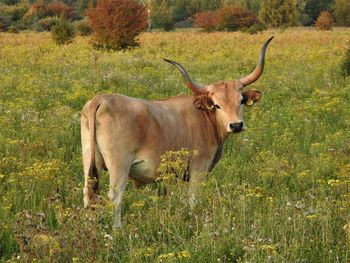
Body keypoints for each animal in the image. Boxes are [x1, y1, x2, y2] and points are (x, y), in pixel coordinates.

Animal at [81, 36, 274, 228]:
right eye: (217, 105)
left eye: (241, 100)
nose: (236, 125)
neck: (206, 117)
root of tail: (102, 98)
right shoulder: (199, 167)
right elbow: (193, 200)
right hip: (119, 166)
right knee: (115, 198)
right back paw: (117, 230)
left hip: (90, 162)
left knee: (88, 196)